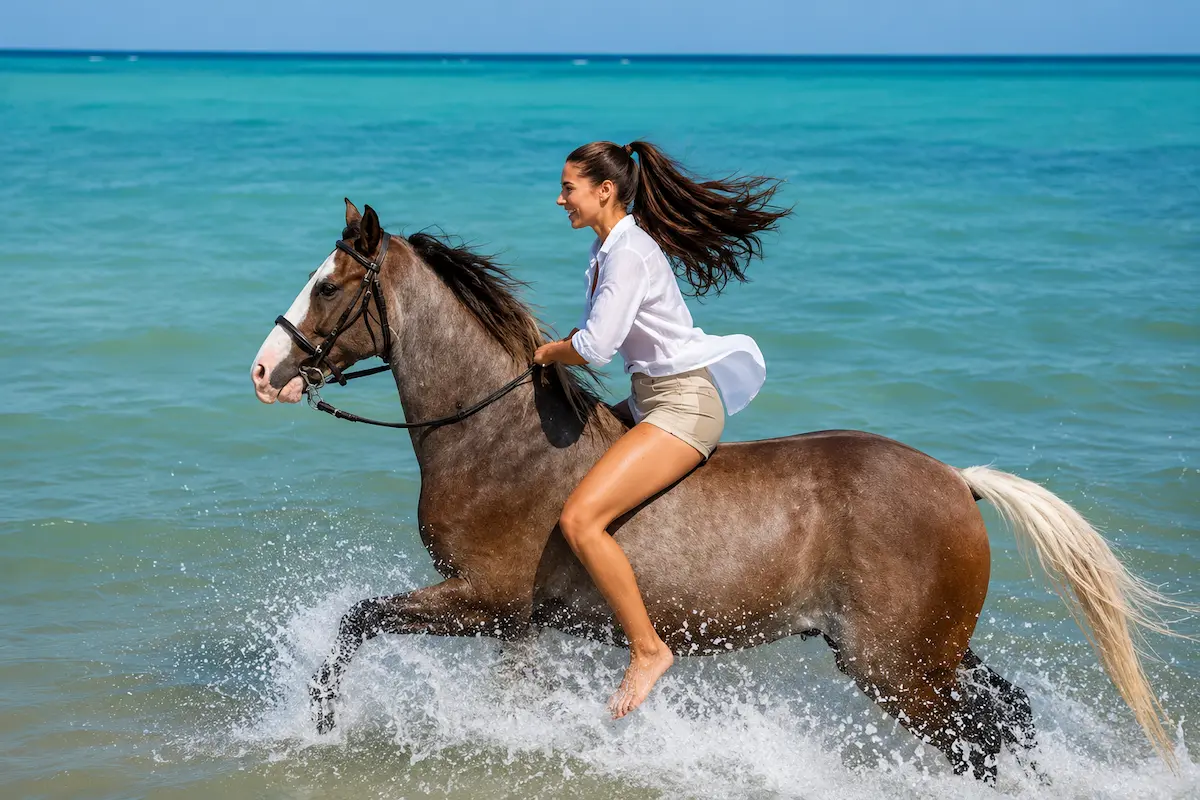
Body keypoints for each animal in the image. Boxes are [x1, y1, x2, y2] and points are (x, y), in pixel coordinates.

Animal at [250, 200, 1189, 782]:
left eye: (328, 285)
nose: (264, 371)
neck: (496, 436)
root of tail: (959, 484)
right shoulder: (518, 624)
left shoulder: (483, 598)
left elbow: (354, 623)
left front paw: (320, 726)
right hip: (934, 653)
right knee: (1011, 718)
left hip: (898, 669)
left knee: (981, 742)